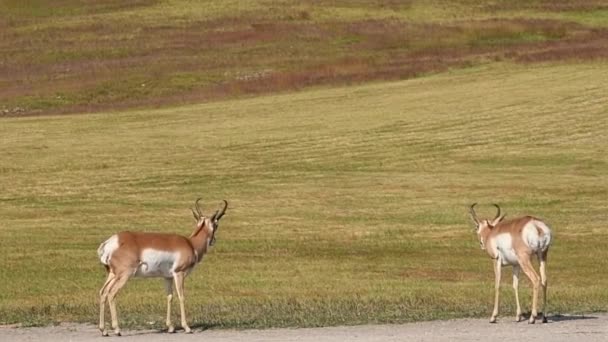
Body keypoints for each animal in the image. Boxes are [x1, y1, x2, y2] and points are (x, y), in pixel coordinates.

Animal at [97, 199, 228, 336]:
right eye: (217, 224)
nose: (214, 240)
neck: (191, 244)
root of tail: (110, 242)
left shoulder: (167, 277)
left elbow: (169, 297)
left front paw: (170, 327)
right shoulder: (179, 274)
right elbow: (181, 297)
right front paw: (187, 327)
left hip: (112, 274)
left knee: (103, 292)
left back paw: (104, 330)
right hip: (124, 275)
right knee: (111, 294)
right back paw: (117, 329)